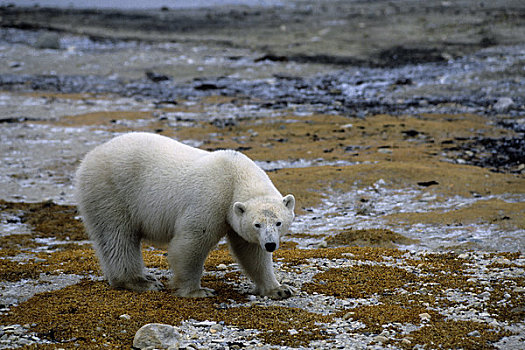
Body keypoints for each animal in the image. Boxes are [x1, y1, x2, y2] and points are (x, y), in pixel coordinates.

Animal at [74, 131, 294, 298]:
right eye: (257, 224)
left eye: (278, 223)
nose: (271, 244)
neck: (235, 176)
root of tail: (89, 156)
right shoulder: (211, 199)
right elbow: (192, 242)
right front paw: (197, 291)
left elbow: (251, 251)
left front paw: (279, 289)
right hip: (110, 191)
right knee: (118, 236)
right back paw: (141, 282)